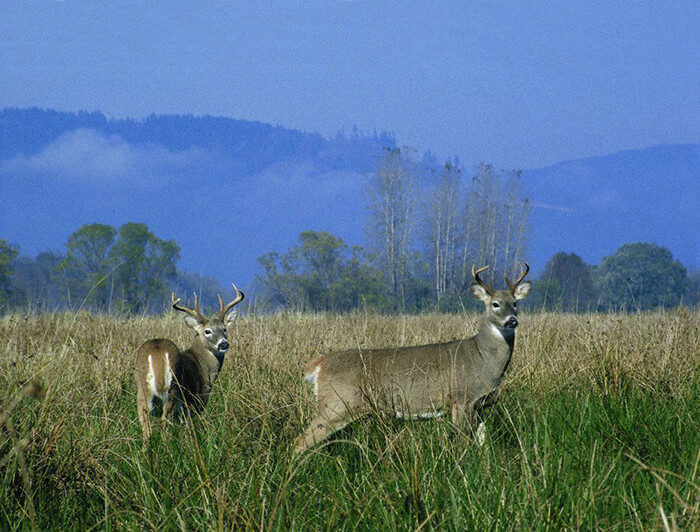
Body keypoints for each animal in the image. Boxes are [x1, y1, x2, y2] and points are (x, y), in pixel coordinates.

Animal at [135, 284, 245, 442]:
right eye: (207, 331)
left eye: (224, 329)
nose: (224, 344)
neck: (203, 363)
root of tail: (156, 351)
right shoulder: (197, 400)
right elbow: (188, 431)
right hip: (173, 389)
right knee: (163, 423)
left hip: (142, 390)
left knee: (146, 429)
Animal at [294, 262, 532, 454]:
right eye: (495, 304)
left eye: (515, 303)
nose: (512, 321)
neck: (482, 358)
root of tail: (319, 365)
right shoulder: (461, 398)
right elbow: (461, 441)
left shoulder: (481, 404)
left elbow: (483, 442)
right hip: (337, 404)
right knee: (301, 441)